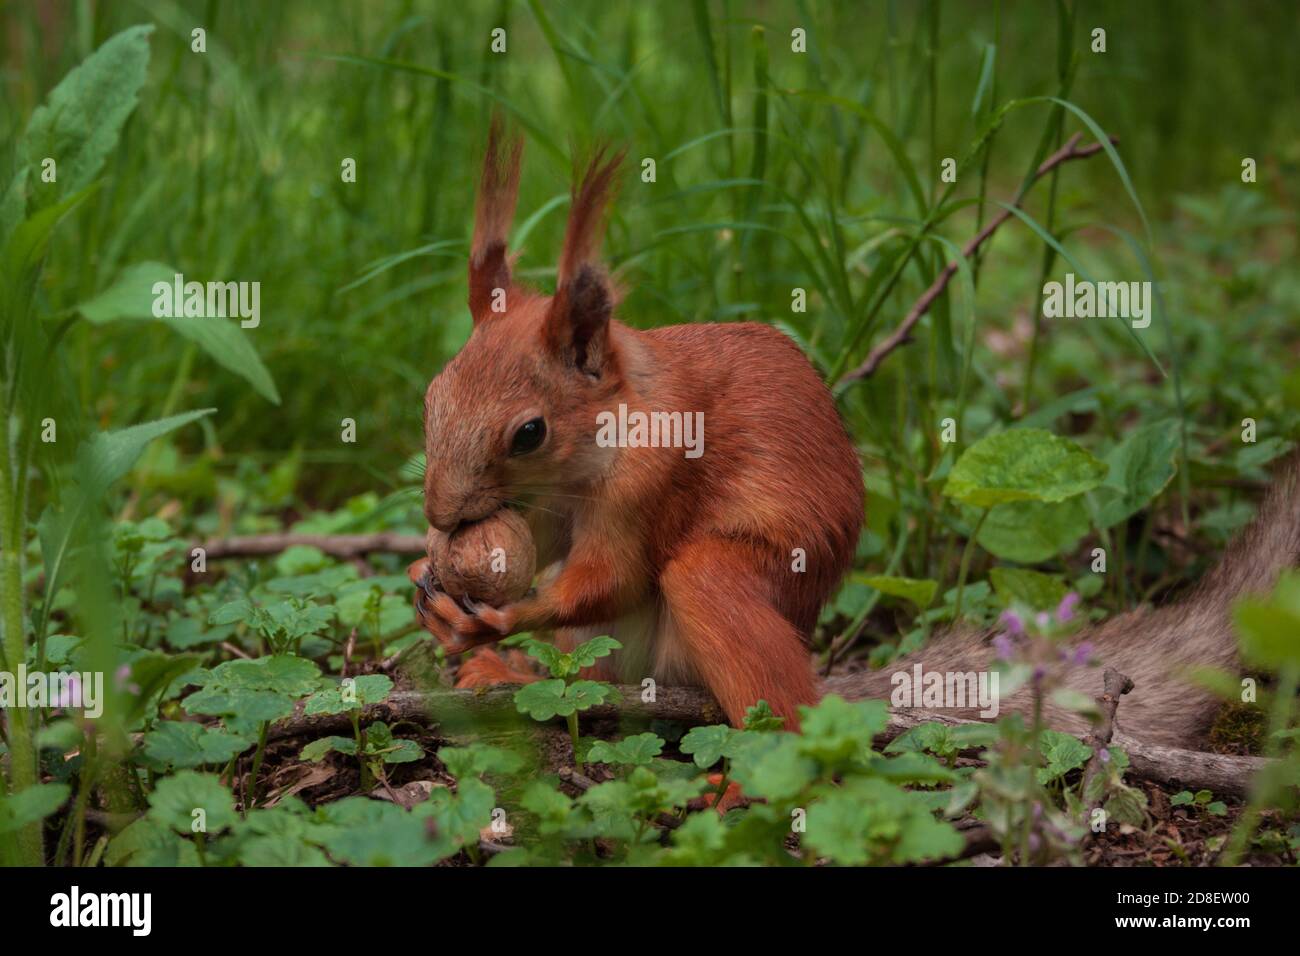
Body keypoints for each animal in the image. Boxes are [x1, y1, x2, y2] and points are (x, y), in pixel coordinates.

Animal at [409, 118, 1294, 747]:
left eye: (528, 432)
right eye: (432, 394)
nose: (442, 512)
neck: (603, 438)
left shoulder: (650, 482)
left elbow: (611, 578)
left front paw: (498, 616)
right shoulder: (545, 510)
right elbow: (546, 552)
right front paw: (436, 581)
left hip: (727, 589)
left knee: (766, 683)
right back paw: (501, 674)